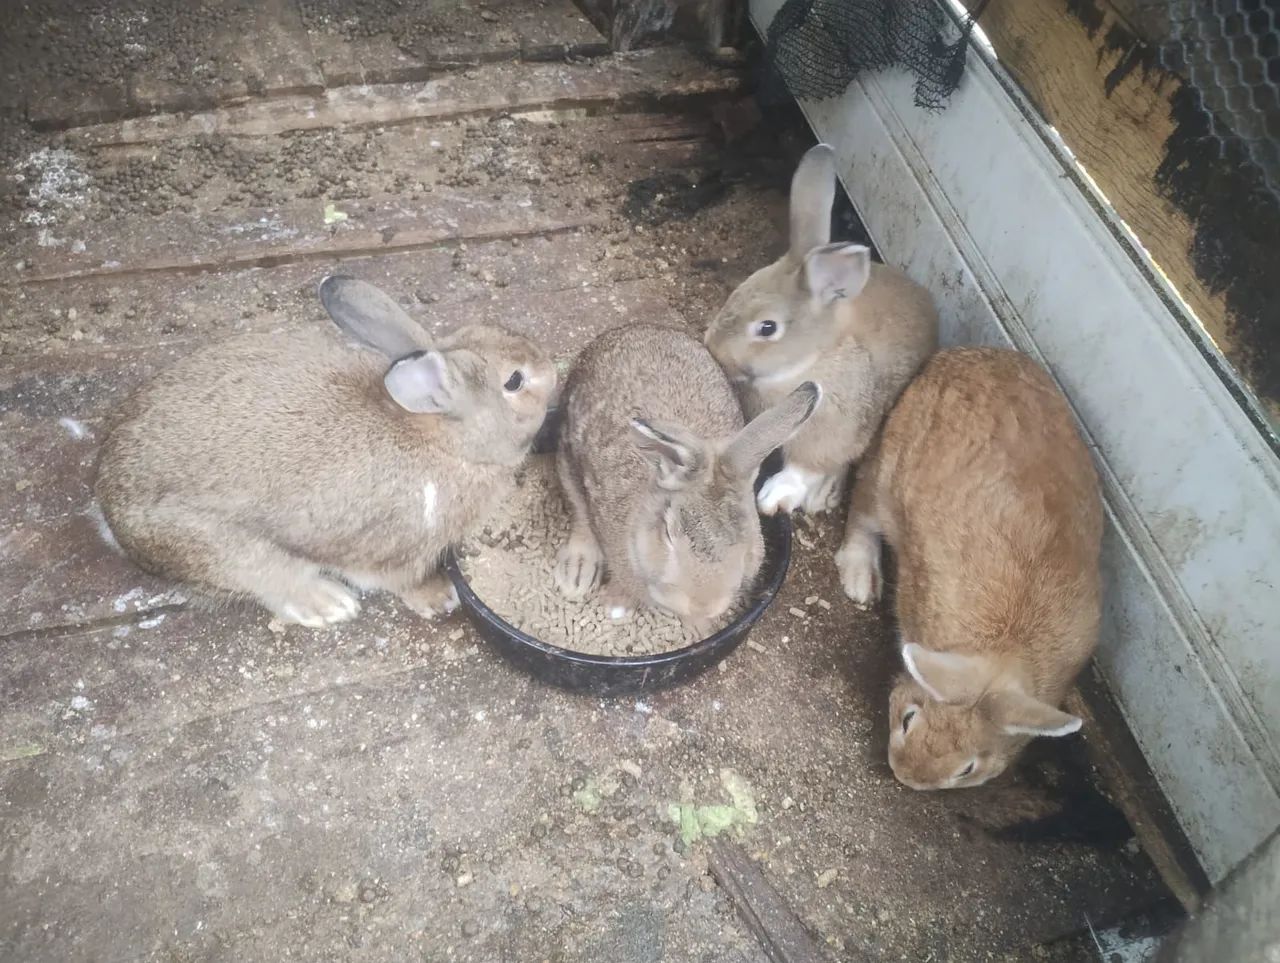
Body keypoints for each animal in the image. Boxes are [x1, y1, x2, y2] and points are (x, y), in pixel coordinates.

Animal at [94, 276, 555, 629]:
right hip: (233, 552)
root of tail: (109, 511)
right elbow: (400, 582)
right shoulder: (399, 551)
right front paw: (440, 598)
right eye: (515, 381)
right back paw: (331, 604)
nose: (550, 368)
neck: (444, 441)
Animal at [553, 323, 820, 630]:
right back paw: (577, 572)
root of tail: (637, 328)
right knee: (579, 510)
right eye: (668, 534)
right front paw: (616, 607)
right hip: (567, 455)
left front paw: (700, 625)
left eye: (748, 540)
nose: (704, 605)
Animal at [703, 143, 938, 532]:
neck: (811, 359)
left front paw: (774, 496)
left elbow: (805, 467)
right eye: (737, 291)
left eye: (767, 328)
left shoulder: (830, 433)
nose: (713, 349)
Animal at [838, 347, 1103, 789]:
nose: (906, 776)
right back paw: (860, 578)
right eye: (908, 719)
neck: (1003, 648)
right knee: (863, 508)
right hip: (886, 477)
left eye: (967, 768)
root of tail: (959, 354)